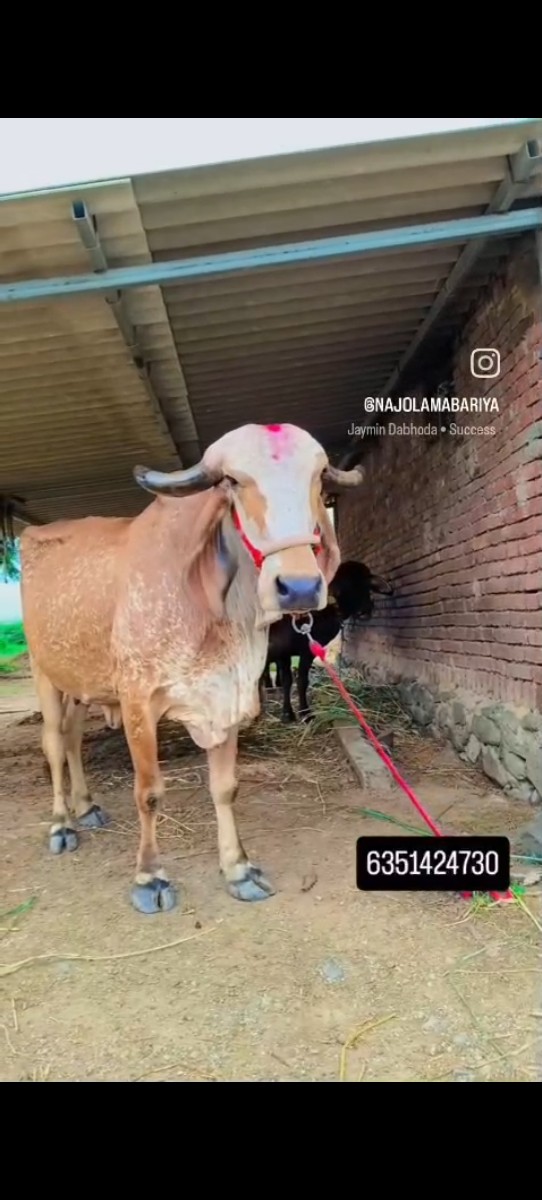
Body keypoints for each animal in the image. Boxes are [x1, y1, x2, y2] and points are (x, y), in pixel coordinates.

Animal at [20, 423, 365, 915]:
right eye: (233, 482)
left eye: (318, 479)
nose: (298, 587)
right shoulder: (138, 703)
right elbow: (148, 792)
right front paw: (149, 877)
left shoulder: (227, 699)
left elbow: (225, 787)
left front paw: (238, 869)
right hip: (44, 673)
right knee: (52, 744)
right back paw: (62, 823)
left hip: (82, 684)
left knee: (70, 741)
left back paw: (86, 806)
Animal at [259, 560, 394, 722]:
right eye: (345, 585)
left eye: (366, 585)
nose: (366, 610)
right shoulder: (287, 651)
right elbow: (294, 681)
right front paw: (299, 713)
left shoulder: (299, 652)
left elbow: (296, 681)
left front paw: (295, 713)